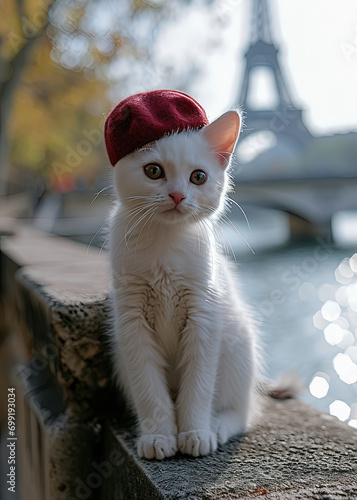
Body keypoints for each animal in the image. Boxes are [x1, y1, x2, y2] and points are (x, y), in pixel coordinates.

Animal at [107, 107, 260, 458]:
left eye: (198, 177)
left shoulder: (204, 316)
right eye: (153, 171)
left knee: (242, 412)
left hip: (237, 342)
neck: (166, 240)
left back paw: (217, 425)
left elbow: (198, 386)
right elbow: (150, 390)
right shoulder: (131, 322)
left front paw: (194, 433)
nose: (177, 195)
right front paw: (157, 436)